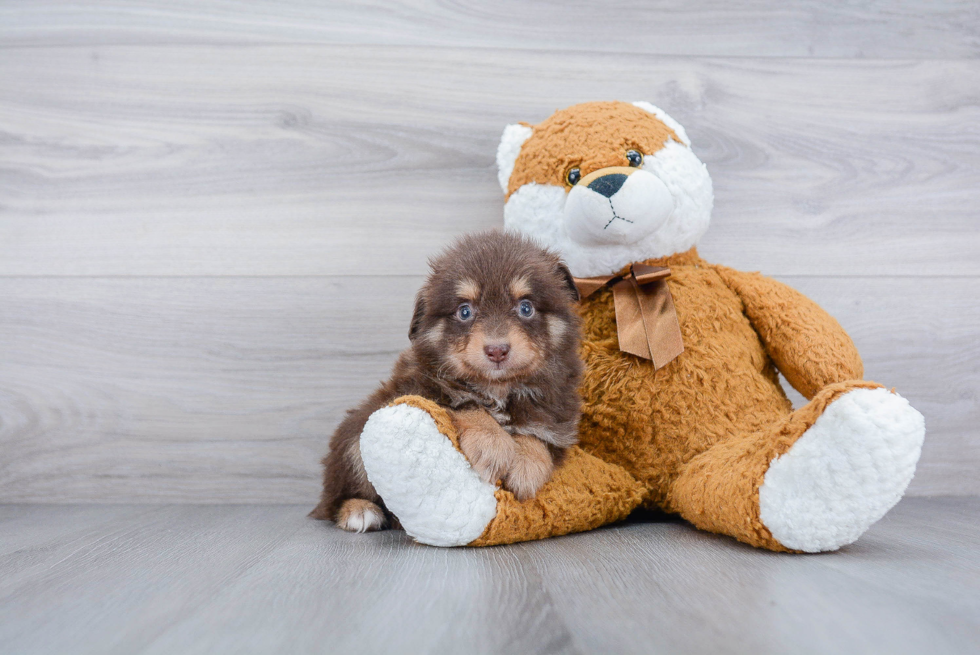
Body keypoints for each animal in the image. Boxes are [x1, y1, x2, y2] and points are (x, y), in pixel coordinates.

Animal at [310, 231, 580, 532]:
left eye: (525, 307)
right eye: (464, 312)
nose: (497, 350)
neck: (497, 388)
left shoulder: (559, 416)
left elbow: (538, 434)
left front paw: (527, 465)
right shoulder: (416, 388)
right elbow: (461, 404)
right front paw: (492, 444)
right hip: (353, 438)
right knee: (333, 498)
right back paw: (358, 511)